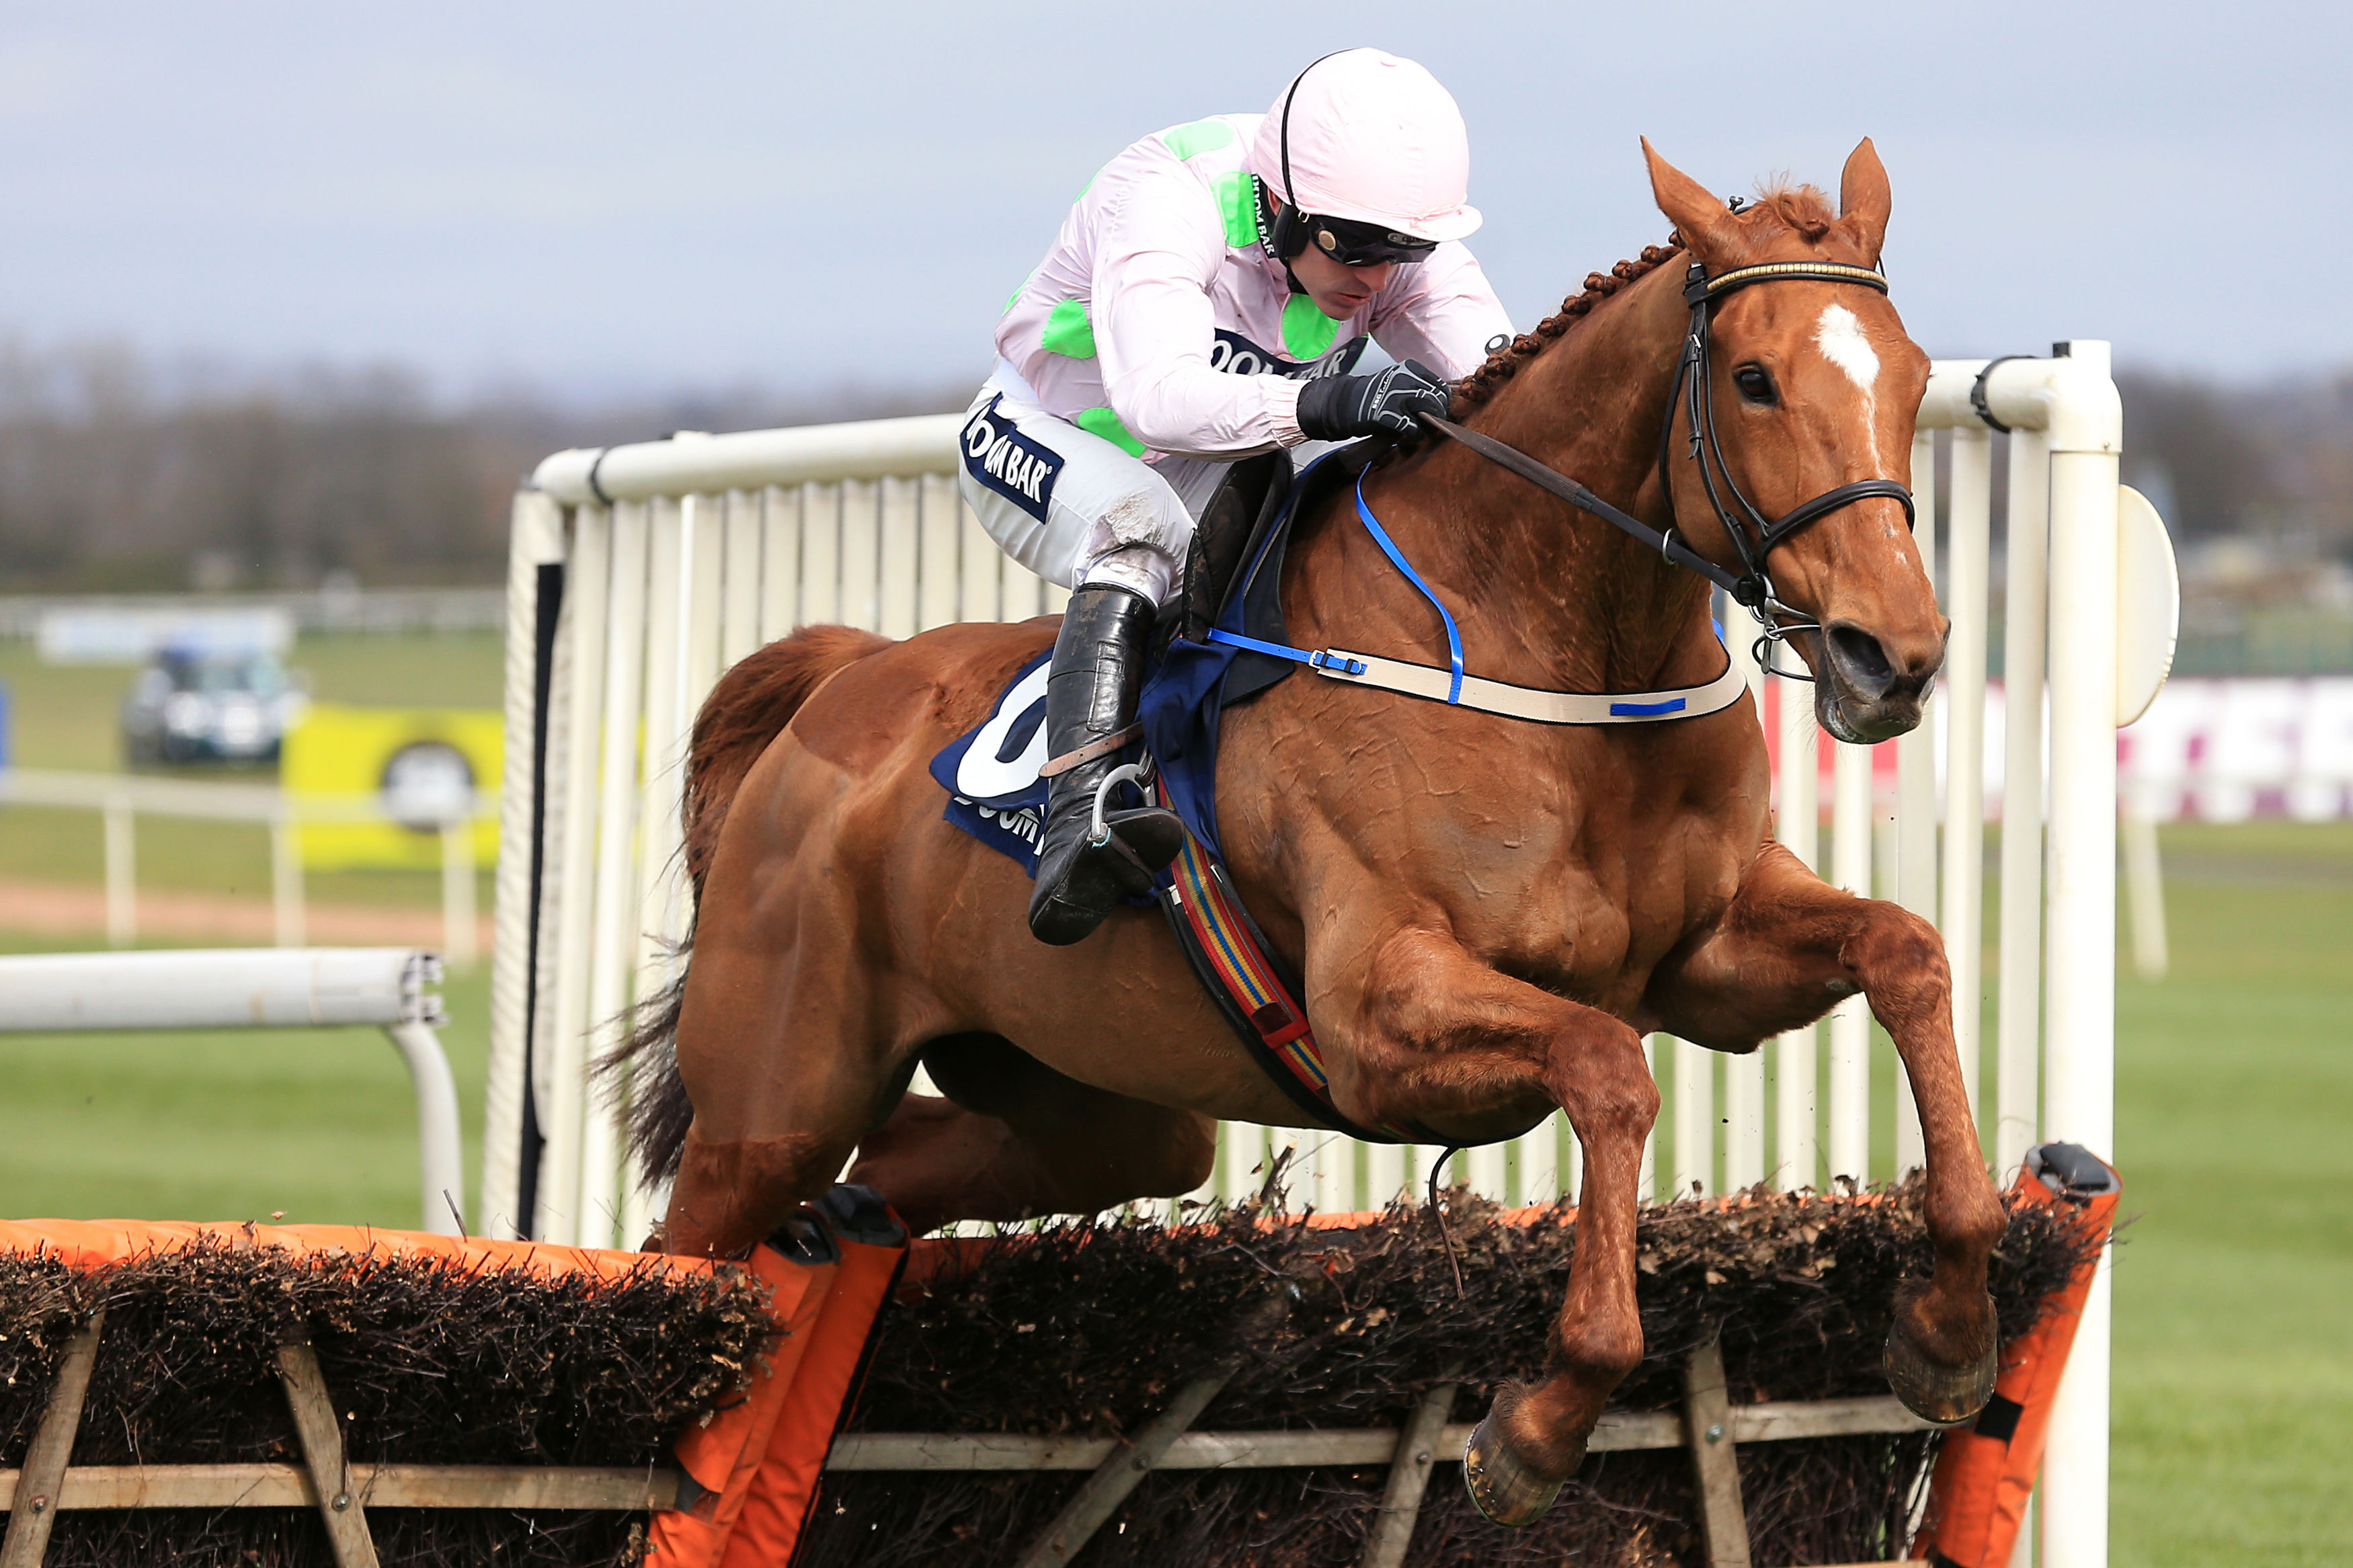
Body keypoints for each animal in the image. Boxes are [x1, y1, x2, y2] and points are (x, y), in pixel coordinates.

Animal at [611, 138, 2004, 1526]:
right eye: (1756, 380)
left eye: (1914, 371)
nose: (1895, 654)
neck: (1544, 640)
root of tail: (840, 684)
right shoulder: (1374, 1019)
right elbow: (1608, 1065)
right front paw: (1543, 1417)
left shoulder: (1706, 960)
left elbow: (1907, 951)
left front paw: (1946, 1321)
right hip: (771, 1104)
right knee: (681, 1255)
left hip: (1101, 1107)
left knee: (909, 1161)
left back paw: (842, 1229)